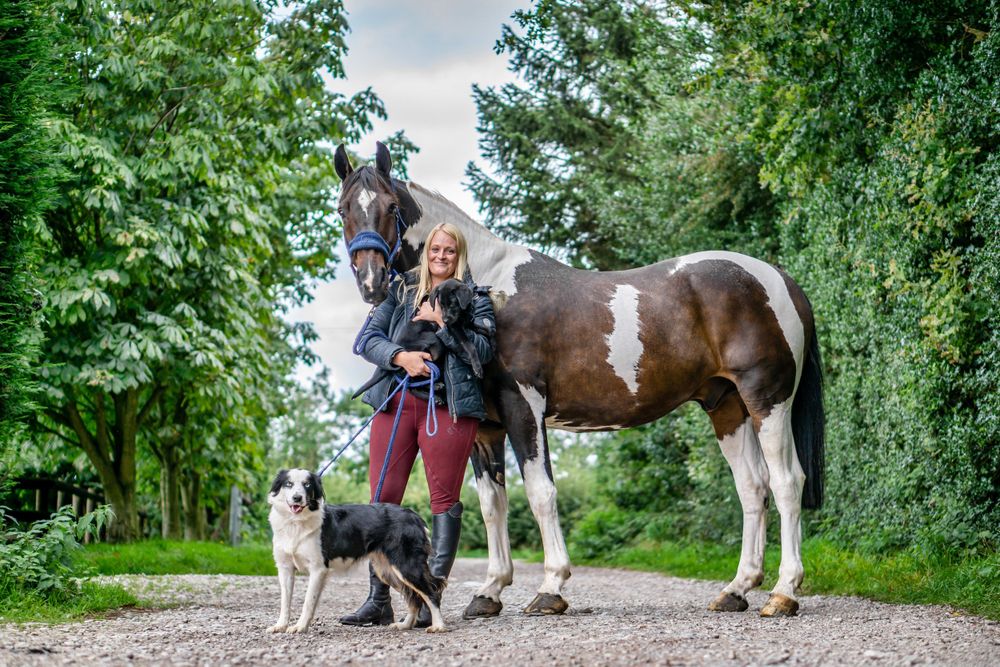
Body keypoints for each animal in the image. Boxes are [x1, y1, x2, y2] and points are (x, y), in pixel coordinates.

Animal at [266, 468, 447, 633]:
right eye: (288, 484)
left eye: (307, 485)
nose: (297, 498)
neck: (295, 522)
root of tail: (413, 515)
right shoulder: (285, 568)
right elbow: (285, 602)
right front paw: (280, 626)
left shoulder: (318, 569)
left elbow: (308, 602)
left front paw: (300, 627)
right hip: (388, 570)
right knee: (414, 598)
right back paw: (405, 625)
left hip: (406, 566)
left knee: (431, 593)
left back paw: (438, 626)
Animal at [352, 278, 483, 399]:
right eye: (441, 305)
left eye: (452, 304)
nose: (444, 320)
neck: (462, 313)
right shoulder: (454, 327)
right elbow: (470, 345)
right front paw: (477, 368)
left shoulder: (466, 322)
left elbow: (481, 327)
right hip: (432, 340)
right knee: (414, 382)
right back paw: (435, 388)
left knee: (412, 383)